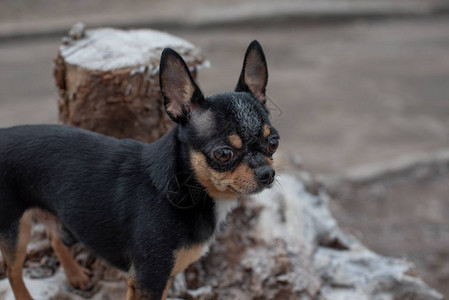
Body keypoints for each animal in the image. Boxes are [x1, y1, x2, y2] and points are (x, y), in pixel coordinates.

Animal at [0, 40, 278, 300]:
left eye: (273, 142)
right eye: (224, 154)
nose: (267, 173)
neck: (183, 187)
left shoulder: (163, 277)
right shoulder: (148, 279)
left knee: (54, 236)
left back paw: (76, 274)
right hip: (15, 230)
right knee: (13, 272)